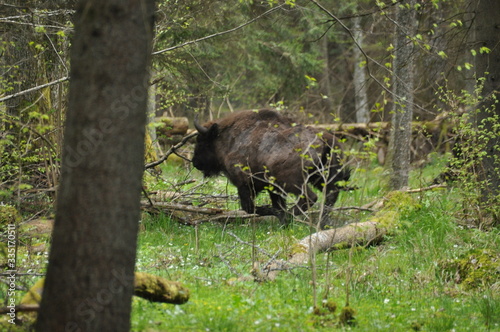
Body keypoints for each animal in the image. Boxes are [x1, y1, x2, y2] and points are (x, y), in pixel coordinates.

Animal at [193, 109, 350, 226]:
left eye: (201, 141)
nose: (195, 162)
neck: (228, 138)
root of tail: (324, 139)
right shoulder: (272, 188)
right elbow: (275, 204)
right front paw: (280, 218)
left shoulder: (245, 184)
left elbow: (249, 207)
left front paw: (277, 215)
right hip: (322, 178)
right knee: (330, 195)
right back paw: (321, 223)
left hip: (293, 181)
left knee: (310, 197)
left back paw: (291, 217)